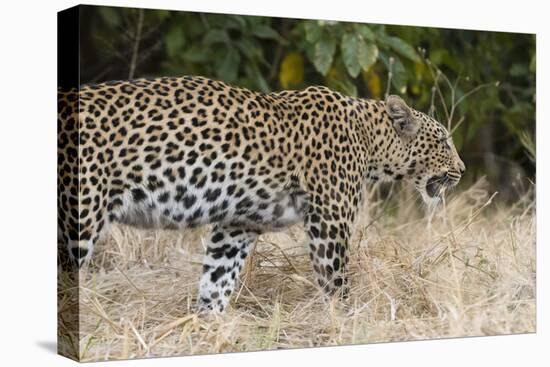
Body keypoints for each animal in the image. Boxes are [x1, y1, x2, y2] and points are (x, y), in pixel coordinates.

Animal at [59, 75, 466, 314]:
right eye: (444, 142)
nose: (462, 171)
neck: (368, 139)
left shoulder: (238, 225)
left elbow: (217, 279)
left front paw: (207, 326)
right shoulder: (329, 223)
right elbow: (336, 282)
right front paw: (347, 322)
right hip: (79, 216)